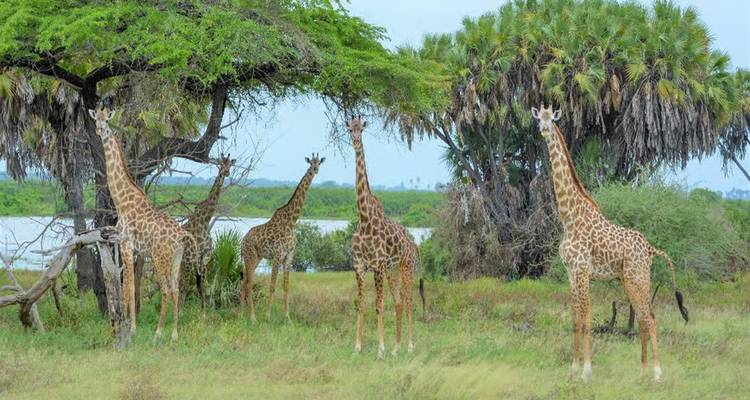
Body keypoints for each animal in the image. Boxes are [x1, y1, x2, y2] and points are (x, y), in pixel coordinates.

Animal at [88, 106, 195, 340]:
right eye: (95, 119)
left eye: (107, 120)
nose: (99, 130)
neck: (122, 200)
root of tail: (182, 235)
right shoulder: (134, 250)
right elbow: (130, 286)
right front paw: (129, 325)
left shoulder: (126, 245)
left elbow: (128, 286)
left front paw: (130, 327)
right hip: (176, 258)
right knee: (176, 289)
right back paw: (174, 334)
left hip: (160, 256)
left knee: (166, 289)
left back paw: (158, 332)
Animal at [180, 155, 235, 314]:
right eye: (221, 163)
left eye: (230, 165)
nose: (226, 172)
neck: (205, 222)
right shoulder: (191, 258)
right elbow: (188, 285)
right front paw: (181, 312)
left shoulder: (204, 257)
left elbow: (202, 286)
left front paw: (203, 313)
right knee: (179, 283)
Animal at [239, 153, 324, 322]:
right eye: (311, 163)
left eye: (319, 163)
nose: (316, 170)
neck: (291, 222)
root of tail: (243, 241)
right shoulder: (278, 255)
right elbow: (272, 286)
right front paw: (267, 315)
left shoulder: (289, 256)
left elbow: (286, 286)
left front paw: (288, 317)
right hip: (250, 256)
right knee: (249, 283)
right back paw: (252, 317)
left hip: (256, 258)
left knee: (244, 282)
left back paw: (240, 313)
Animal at [347, 116, 418, 358]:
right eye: (349, 129)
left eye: (361, 129)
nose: (355, 141)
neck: (365, 219)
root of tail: (413, 243)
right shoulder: (359, 265)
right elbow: (361, 304)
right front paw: (358, 346)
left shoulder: (377, 265)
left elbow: (378, 305)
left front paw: (380, 348)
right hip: (392, 270)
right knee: (398, 301)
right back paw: (397, 347)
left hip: (405, 267)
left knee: (408, 300)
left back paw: (409, 346)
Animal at [531, 104, 689, 382]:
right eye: (539, 118)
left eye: (553, 119)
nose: (544, 129)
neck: (568, 217)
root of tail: (650, 249)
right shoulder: (571, 272)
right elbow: (575, 318)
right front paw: (573, 369)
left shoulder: (583, 270)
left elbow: (586, 318)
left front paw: (586, 371)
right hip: (629, 279)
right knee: (643, 318)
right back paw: (642, 372)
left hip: (638, 277)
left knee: (650, 318)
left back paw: (657, 374)